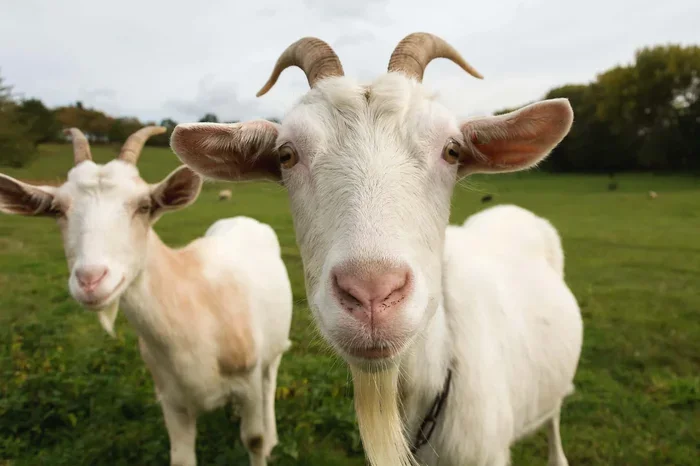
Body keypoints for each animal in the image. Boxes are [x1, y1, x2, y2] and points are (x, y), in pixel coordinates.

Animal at [0, 127, 293, 466]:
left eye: (143, 206)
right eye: (58, 210)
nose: (90, 279)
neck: (195, 304)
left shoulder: (247, 381)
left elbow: (254, 439)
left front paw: (264, 442)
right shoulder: (172, 400)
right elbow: (181, 458)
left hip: (273, 349)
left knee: (270, 380)